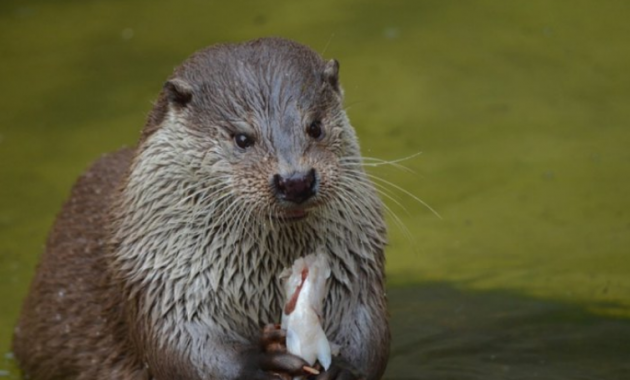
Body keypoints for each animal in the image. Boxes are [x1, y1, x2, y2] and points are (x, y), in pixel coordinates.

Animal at [12, 36, 390, 380]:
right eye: (242, 138)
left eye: (315, 127)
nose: (295, 180)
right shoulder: (159, 277)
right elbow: (182, 350)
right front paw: (260, 361)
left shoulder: (357, 263)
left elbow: (369, 333)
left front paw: (344, 368)